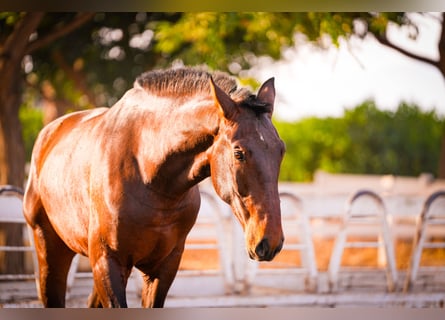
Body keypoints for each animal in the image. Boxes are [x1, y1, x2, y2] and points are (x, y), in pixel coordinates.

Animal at [22, 65, 284, 308]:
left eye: (281, 150)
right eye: (239, 153)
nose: (269, 242)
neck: (149, 175)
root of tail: (49, 133)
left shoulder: (164, 267)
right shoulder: (107, 262)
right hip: (51, 251)